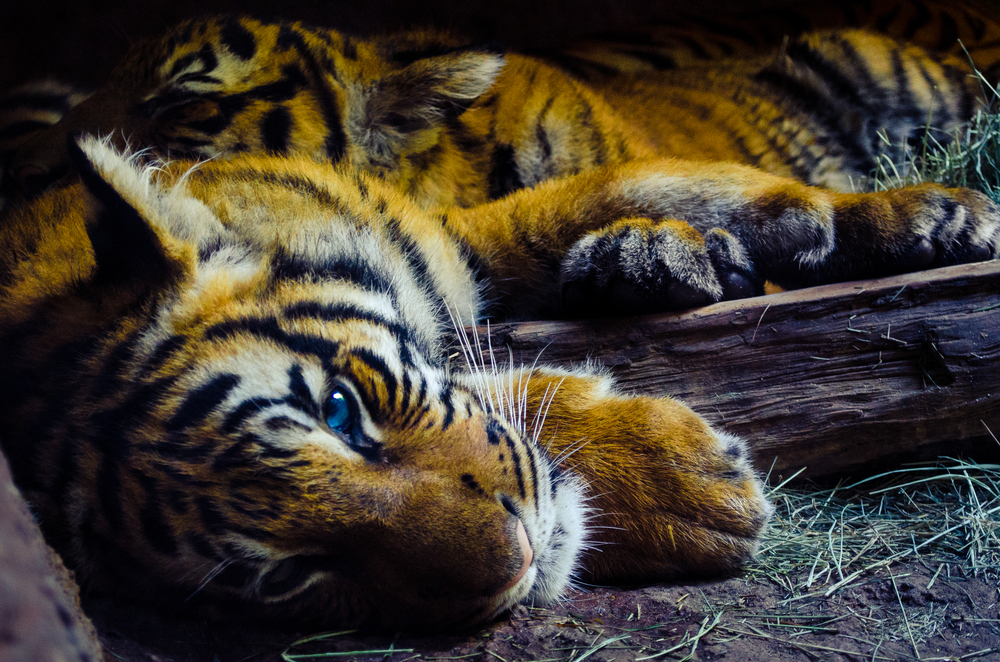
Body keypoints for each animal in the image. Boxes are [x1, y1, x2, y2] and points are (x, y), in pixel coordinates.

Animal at [0, 0, 996, 632]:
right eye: (291, 574)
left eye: (339, 410)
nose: (515, 563)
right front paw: (694, 488)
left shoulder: (461, 232)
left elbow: (647, 186)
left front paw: (916, 216)